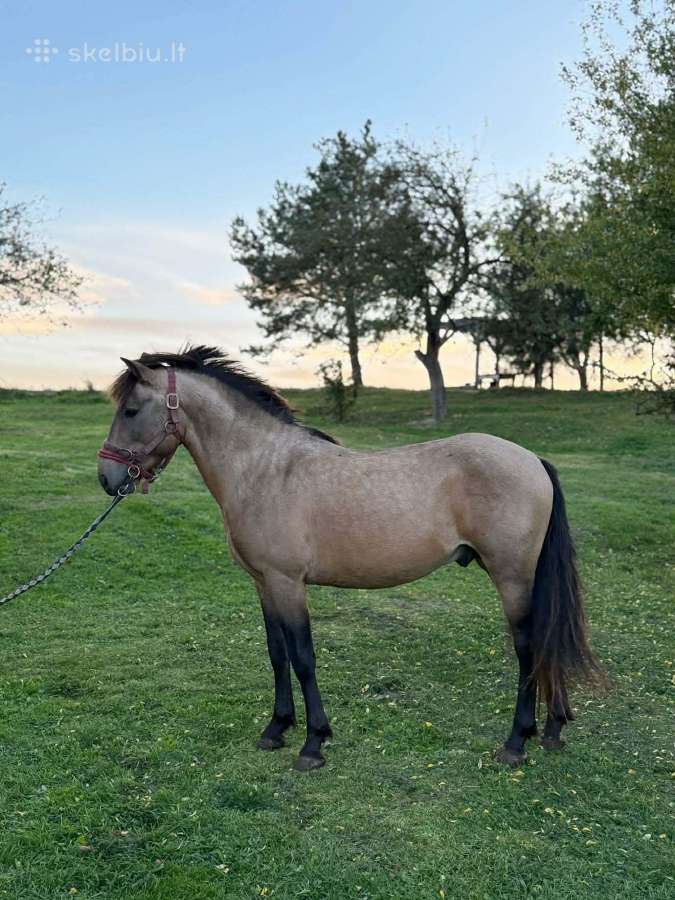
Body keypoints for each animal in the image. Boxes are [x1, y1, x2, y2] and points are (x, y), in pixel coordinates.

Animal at [97, 345, 603, 772]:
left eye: (130, 410)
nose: (107, 478)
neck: (264, 469)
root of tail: (533, 460)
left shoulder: (287, 583)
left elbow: (303, 657)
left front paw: (313, 743)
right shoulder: (263, 583)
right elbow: (277, 654)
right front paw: (276, 729)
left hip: (512, 577)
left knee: (529, 647)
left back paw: (517, 741)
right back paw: (553, 730)